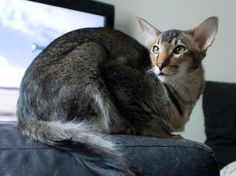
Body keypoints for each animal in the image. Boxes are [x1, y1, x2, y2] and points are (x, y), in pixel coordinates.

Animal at [17, 16, 218, 176]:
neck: (182, 92)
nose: (159, 65)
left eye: (179, 49)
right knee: (91, 126)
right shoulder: (117, 73)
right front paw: (168, 135)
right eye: (155, 49)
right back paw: (124, 127)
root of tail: (23, 115)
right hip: (91, 51)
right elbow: (146, 119)